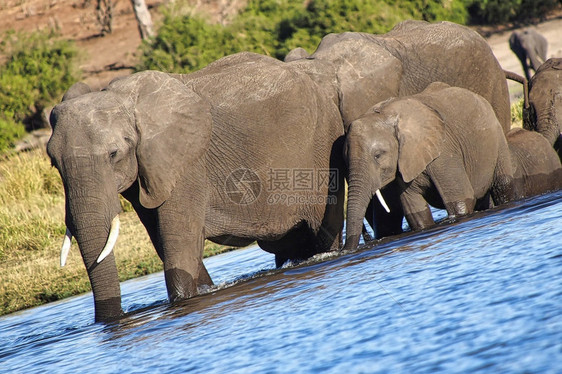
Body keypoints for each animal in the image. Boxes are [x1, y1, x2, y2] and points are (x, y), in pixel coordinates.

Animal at [48, 51, 344, 322]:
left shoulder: (186, 165)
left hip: (322, 146)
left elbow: (179, 245)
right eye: (53, 162)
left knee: (322, 230)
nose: (110, 321)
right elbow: (163, 241)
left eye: (113, 154)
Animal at [340, 83, 516, 250]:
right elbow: (417, 214)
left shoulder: (444, 152)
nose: (345, 250)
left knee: (502, 185)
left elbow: (460, 200)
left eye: (378, 155)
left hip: (497, 135)